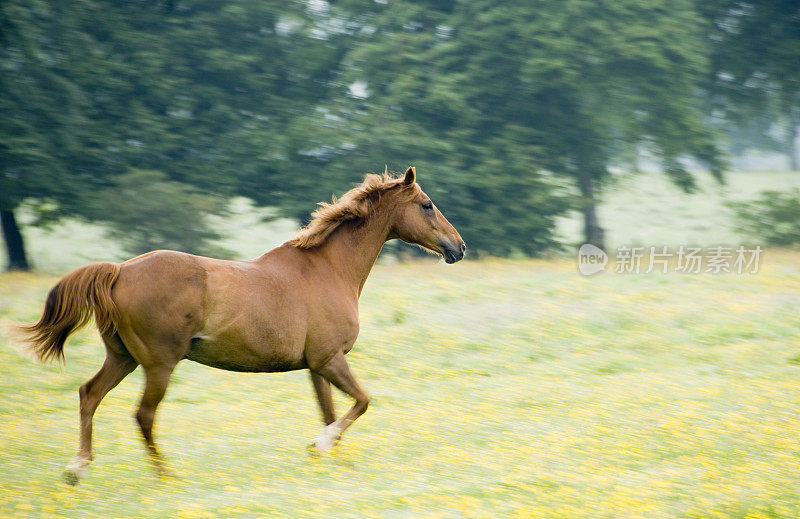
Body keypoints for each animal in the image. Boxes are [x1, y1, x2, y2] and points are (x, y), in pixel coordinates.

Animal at [12, 166, 466, 484]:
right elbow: (362, 401)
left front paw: (331, 458)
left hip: (123, 357)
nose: (458, 247)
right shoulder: (330, 359)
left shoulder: (317, 366)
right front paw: (321, 445)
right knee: (143, 415)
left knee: (89, 395)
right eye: (427, 204)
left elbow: (332, 410)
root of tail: (119, 270)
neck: (328, 269)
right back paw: (166, 476)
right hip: (159, 363)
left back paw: (77, 468)